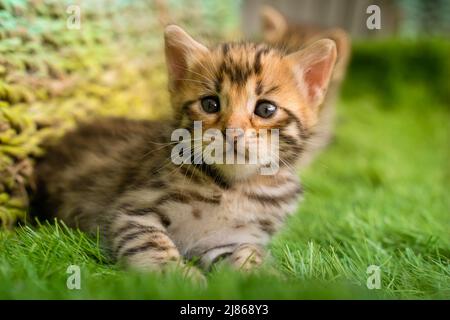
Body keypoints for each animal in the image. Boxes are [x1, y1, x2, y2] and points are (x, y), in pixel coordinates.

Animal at [31, 25, 336, 278]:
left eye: (266, 109)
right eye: (210, 104)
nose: (232, 132)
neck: (231, 187)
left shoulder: (226, 238)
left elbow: (245, 254)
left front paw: (262, 275)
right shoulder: (131, 210)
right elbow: (148, 242)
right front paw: (175, 275)